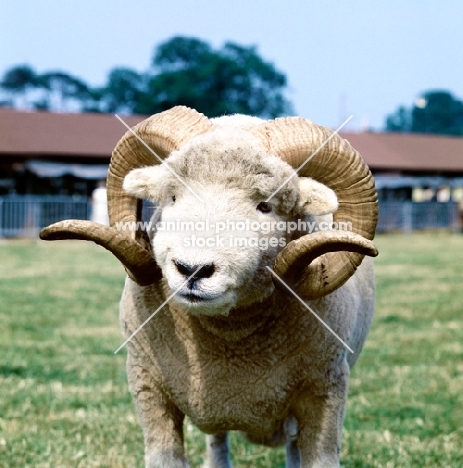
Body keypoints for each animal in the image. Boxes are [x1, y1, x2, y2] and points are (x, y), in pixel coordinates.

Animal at [41, 106, 378, 468]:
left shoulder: (326, 393)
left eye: (265, 205)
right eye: (172, 197)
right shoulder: (149, 390)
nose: (192, 270)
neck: (229, 340)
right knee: (218, 444)